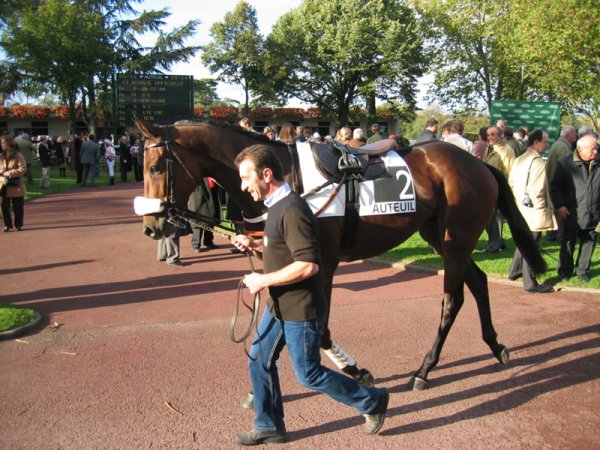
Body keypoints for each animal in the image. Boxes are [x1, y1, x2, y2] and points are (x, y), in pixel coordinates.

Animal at [137, 119, 548, 390]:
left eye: (155, 166)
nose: (152, 225)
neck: (289, 179)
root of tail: (481, 164)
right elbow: (280, 319)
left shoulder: (322, 265)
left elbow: (317, 331)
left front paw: (355, 371)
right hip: (439, 235)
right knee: (477, 282)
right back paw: (496, 346)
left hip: (456, 237)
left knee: (453, 298)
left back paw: (424, 370)